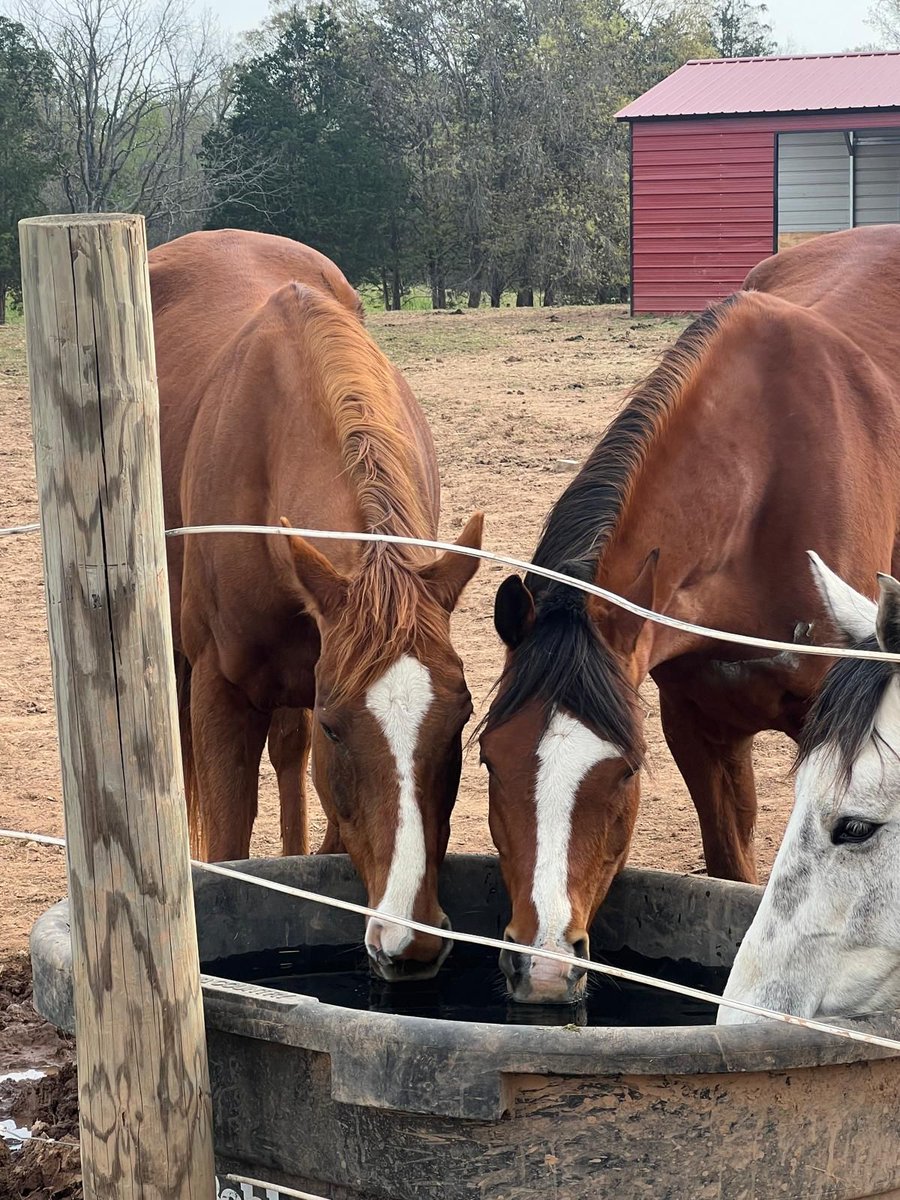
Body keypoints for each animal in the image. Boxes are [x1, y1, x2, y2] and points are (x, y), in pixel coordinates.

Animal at [149, 229, 483, 981]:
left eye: (462, 719)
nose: (412, 945)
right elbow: (229, 850)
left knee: (286, 754)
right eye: (339, 728)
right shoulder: (223, 692)